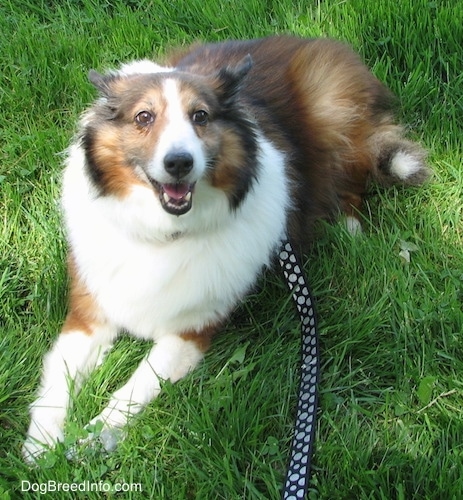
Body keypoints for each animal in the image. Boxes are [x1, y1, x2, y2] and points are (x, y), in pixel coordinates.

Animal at [22, 37, 432, 462]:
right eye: (143, 117)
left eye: (200, 116)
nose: (179, 163)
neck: (164, 232)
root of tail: (318, 41)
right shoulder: (89, 313)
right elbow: (58, 377)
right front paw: (43, 446)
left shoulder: (191, 328)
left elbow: (132, 391)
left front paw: (89, 440)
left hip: (335, 119)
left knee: (352, 182)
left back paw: (348, 230)